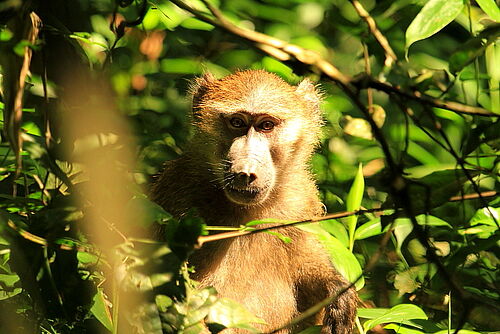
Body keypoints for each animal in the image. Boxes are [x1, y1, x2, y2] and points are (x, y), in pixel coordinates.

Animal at [150, 69, 358, 332]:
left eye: (266, 125)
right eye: (237, 123)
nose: (245, 172)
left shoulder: (300, 201)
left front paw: (339, 291)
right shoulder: (178, 195)